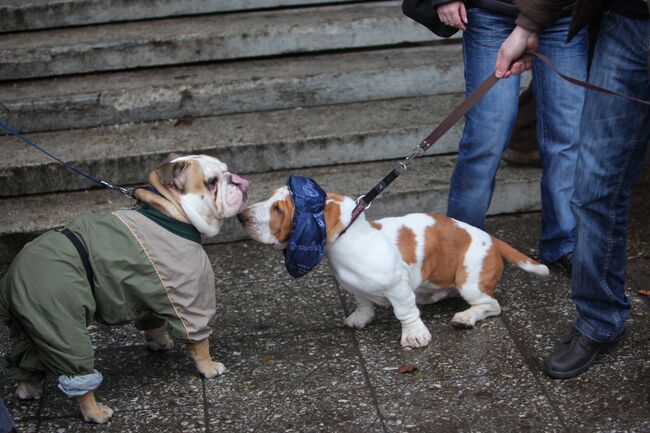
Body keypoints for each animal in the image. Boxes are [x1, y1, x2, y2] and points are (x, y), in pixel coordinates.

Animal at [238, 188, 548, 348]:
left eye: (279, 209)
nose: (241, 216)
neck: (349, 239)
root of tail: (492, 238)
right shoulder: (356, 288)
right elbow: (363, 303)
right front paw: (360, 319)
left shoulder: (397, 287)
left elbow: (406, 312)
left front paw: (414, 336)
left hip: (470, 284)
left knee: (491, 305)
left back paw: (466, 317)